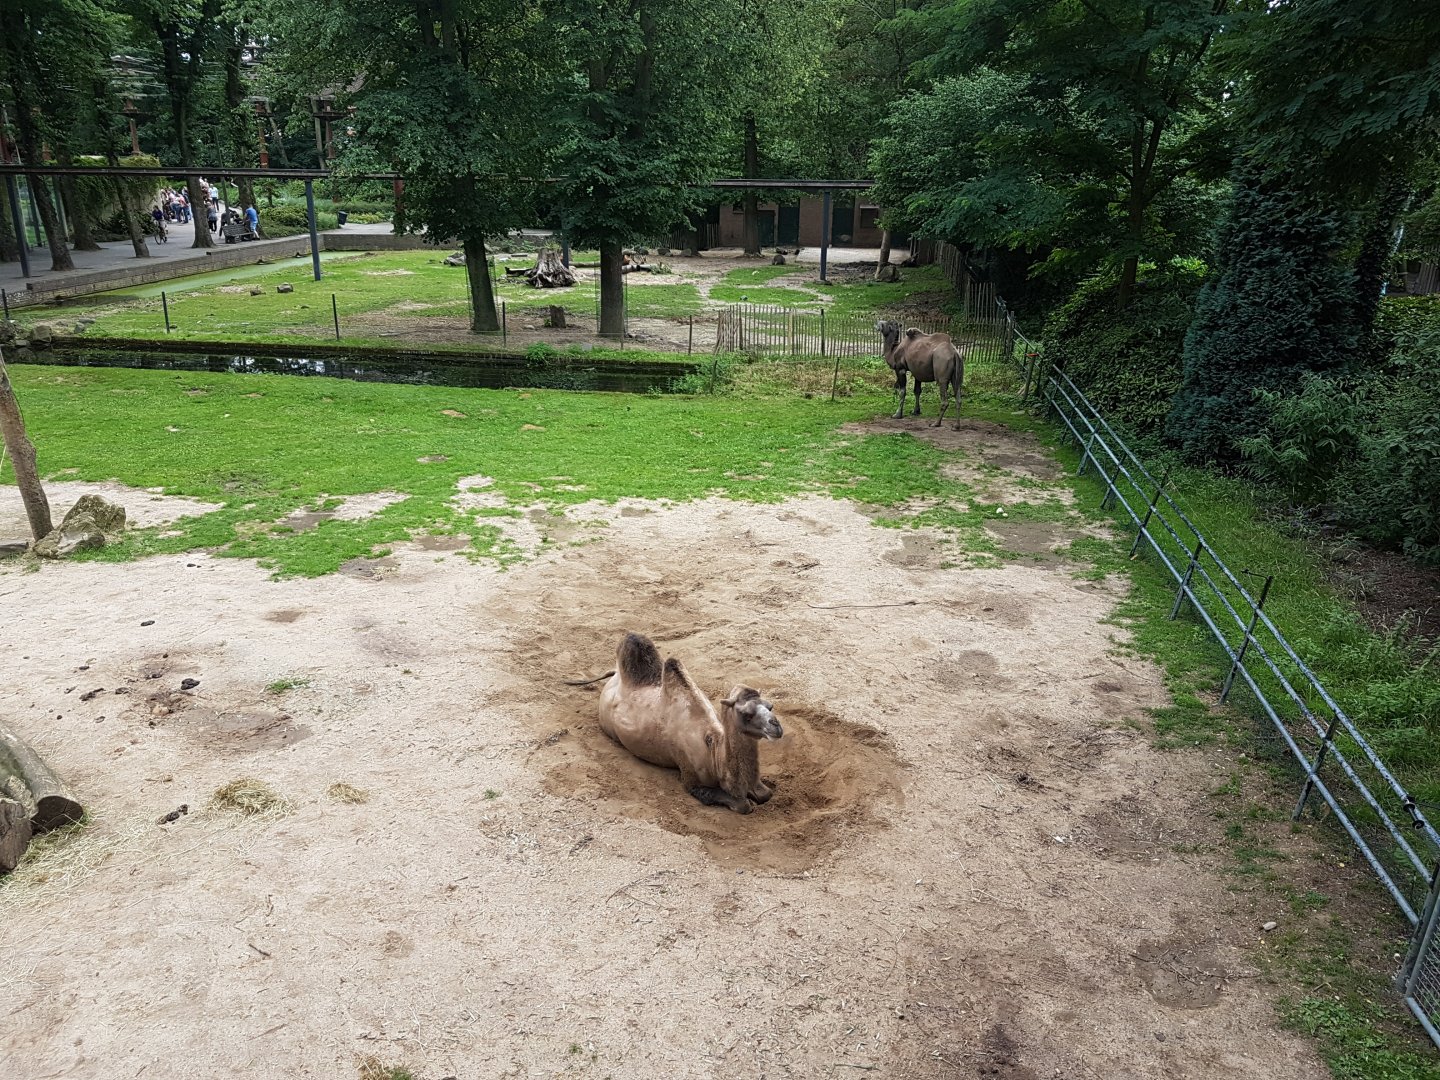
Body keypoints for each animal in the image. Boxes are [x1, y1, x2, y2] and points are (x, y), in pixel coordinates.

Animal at [564, 633, 783, 813]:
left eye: (770, 706)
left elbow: (766, 794)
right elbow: (742, 805)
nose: (777, 727)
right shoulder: (691, 781)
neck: (713, 752)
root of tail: (615, 675)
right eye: (746, 713)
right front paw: (746, 802)